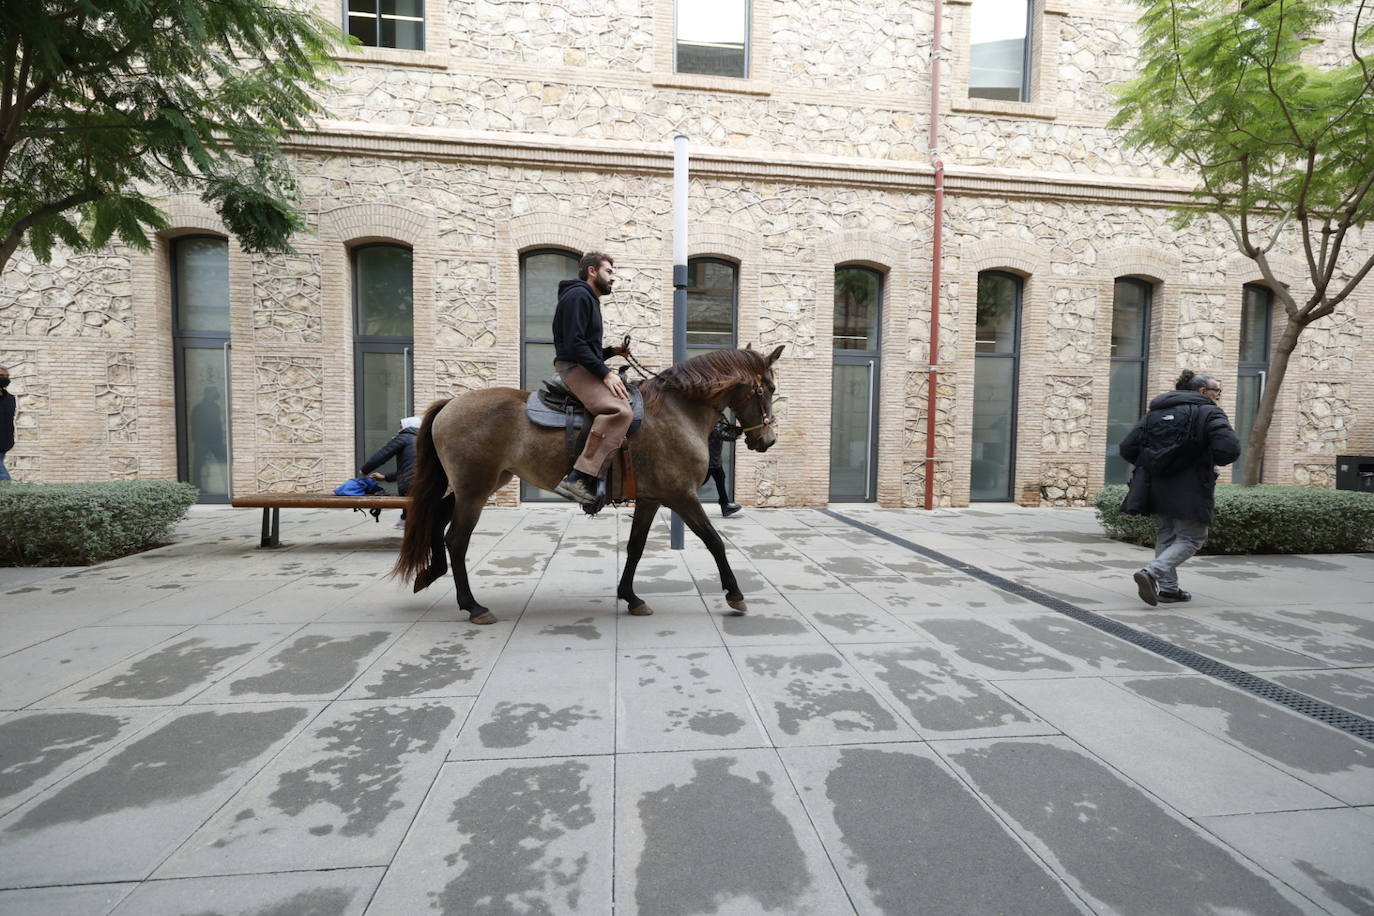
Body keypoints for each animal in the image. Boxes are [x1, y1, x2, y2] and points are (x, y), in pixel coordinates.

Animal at [398, 343, 785, 623]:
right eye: (769, 387)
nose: (767, 440)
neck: (677, 411)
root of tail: (451, 403)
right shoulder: (681, 496)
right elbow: (715, 541)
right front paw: (735, 594)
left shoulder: (652, 498)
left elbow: (636, 547)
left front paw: (630, 596)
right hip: (475, 489)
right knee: (456, 539)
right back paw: (473, 605)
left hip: (476, 485)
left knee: (436, 518)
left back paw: (430, 573)